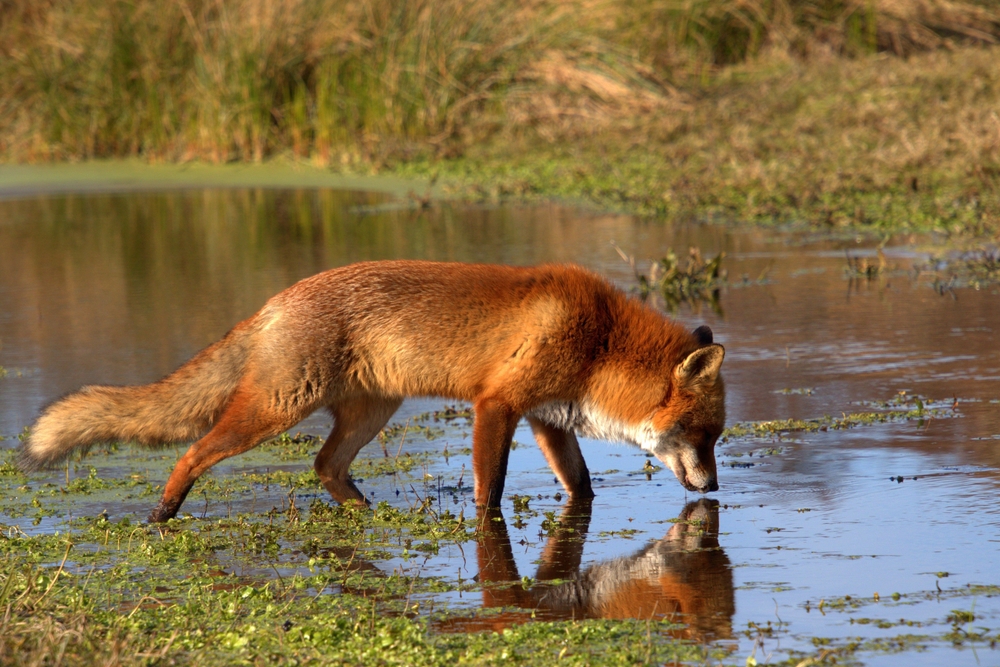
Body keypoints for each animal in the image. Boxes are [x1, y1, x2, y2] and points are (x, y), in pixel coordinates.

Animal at [19, 260, 726, 523]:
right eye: (704, 435)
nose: (715, 489)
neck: (599, 339)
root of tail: (275, 301)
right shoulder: (496, 406)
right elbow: (490, 489)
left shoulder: (546, 417)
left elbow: (581, 486)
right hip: (275, 410)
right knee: (193, 453)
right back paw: (164, 514)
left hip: (369, 414)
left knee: (325, 466)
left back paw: (365, 513)